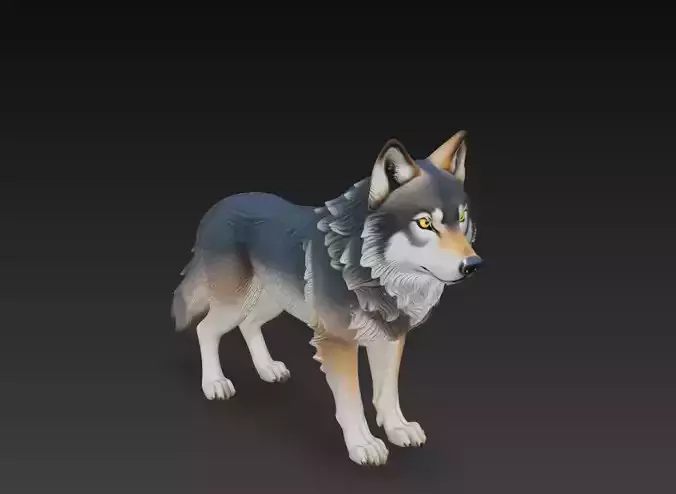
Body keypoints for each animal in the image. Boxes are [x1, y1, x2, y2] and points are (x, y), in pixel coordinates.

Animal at [171, 131, 482, 466]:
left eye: (462, 218)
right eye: (425, 223)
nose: (473, 265)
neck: (372, 272)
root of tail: (216, 208)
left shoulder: (390, 337)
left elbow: (387, 392)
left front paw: (398, 429)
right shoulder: (339, 342)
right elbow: (352, 400)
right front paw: (363, 444)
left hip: (272, 302)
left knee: (248, 325)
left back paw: (267, 368)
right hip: (235, 304)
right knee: (205, 329)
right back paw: (214, 383)